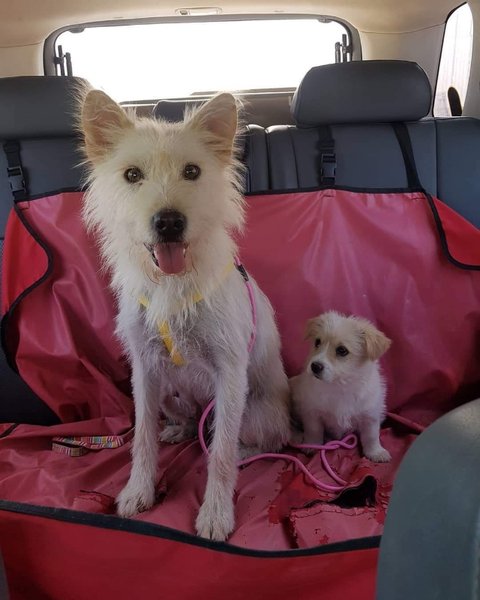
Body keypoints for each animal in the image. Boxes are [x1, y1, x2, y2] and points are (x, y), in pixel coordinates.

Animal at [79, 89, 290, 541]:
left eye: (192, 171)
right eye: (132, 175)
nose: (169, 222)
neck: (172, 284)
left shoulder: (230, 372)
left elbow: (221, 453)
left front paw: (216, 512)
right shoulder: (144, 369)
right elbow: (142, 437)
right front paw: (138, 490)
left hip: (257, 411)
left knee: (267, 440)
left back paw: (246, 448)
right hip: (169, 391)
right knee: (186, 417)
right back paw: (179, 428)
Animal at [290, 311, 392, 462]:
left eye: (342, 350)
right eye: (317, 342)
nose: (315, 366)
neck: (339, 385)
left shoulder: (370, 416)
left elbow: (371, 437)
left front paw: (376, 452)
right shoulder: (312, 412)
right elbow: (314, 431)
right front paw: (312, 445)